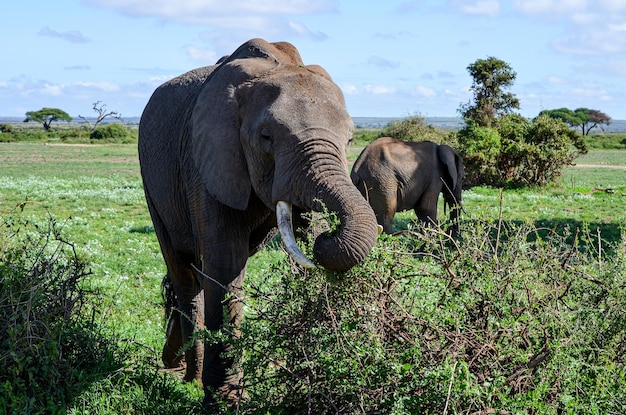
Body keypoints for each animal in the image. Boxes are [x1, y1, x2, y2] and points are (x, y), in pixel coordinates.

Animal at [137, 39, 378, 410]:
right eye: (266, 137)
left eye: (350, 140)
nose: (330, 236)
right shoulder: (208, 161)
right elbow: (225, 265)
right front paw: (226, 403)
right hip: (154, 185)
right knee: (184, 274)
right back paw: (187, 376)